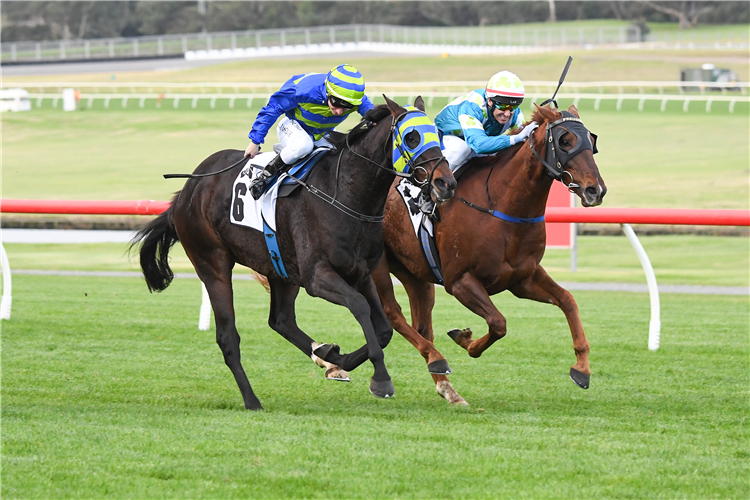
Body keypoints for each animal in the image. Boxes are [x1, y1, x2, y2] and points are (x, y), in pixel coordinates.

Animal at [132, 97, 456, 410]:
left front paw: (335, 356)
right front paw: (381, 380)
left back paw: (326, 357)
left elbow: (384, 329)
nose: (446, 183)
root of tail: (187, 191)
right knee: (228, 337)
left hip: (280, 269)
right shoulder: (317, 276)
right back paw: (252, 401)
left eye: (437, 132)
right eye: (412, 137)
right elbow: (360, 306)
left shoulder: (361, 272)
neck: (346, 193)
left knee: (281, 320)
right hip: (213, 263)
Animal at [374, 103, 608, 404]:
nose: (595, 190)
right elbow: (498, 323)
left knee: (422, 324)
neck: (502, 204)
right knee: (393, 314)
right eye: (565, 141)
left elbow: (568, 301)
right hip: (377, 264)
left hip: (414, 272)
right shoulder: (459, 280)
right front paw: (466, 340)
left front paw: (582, 368)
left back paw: (445, 385)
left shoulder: (522, 278)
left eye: (591, 141)